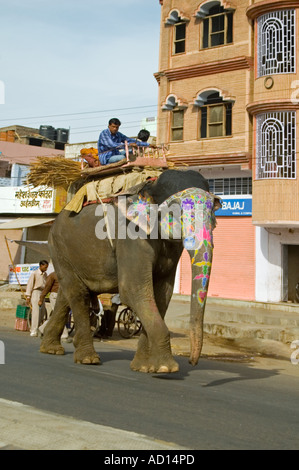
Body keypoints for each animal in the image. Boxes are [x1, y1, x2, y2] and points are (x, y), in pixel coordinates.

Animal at [40, 170, 220, 374]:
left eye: (213, 210)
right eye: (175, 211)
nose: (192, 362)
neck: (150, 187)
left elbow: (162, 295)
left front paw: (143, 367)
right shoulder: (131, 236)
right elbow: (134, 290)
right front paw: (167, 368)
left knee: (67, 293)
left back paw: (51, 349)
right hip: (58, 247)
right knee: (78, 294)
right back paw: (87, 359)